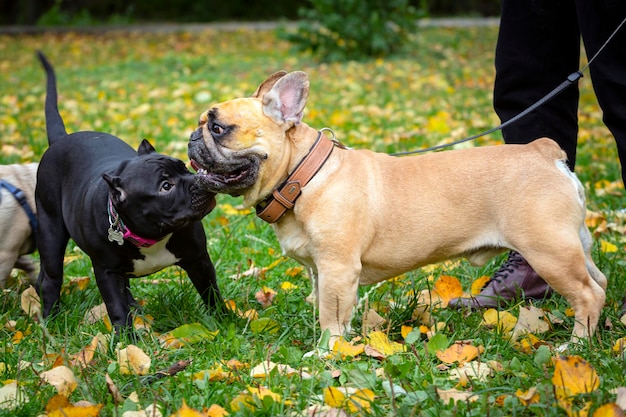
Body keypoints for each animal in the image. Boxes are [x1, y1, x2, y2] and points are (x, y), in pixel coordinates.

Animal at [35, 52, 223, 330]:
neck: (153, 235)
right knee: (51, 279)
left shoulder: (198, 259)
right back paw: (49, 322)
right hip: (50, 233)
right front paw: (126, 338)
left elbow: (212, 293)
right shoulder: (106, 272)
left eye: (184, 166)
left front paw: (227, 320)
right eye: (165, 186)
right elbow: (117, 309)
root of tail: (61, 139)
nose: (199, 181)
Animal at [186, 70, 604, 350]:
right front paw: (338, 345)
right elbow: (331, 310)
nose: (192, 137)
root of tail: (544, 152)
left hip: (547, 250)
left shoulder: (338, 268)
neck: (303, 177)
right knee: (598, 284)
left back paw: (576, 346)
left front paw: (325, 353)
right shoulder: (323, 273)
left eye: (220, 128)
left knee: (587, 295)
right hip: (573, 247)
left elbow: (330, 315)